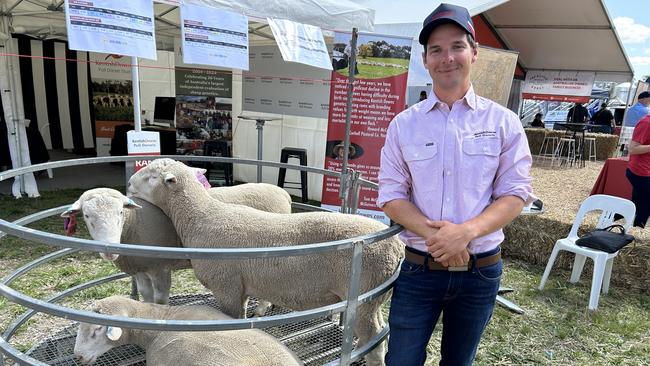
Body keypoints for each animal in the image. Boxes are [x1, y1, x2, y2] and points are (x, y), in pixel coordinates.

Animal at [62, 180, 290, 308]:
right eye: (86, 215)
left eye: (120, 212)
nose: (109, 250)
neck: (134, 221)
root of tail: (284, 194)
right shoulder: (140, 268)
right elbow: (146, 296)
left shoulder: (160, 267)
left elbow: (161, 299)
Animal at [124, 158, 402, 366]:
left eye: (152, 177)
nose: (127, 184)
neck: (202, 217)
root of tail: (396, 245)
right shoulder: (240, 287)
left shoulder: (226, 287)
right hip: (373, 299)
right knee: (379, 335)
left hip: (365, 296)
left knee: (376, 341)